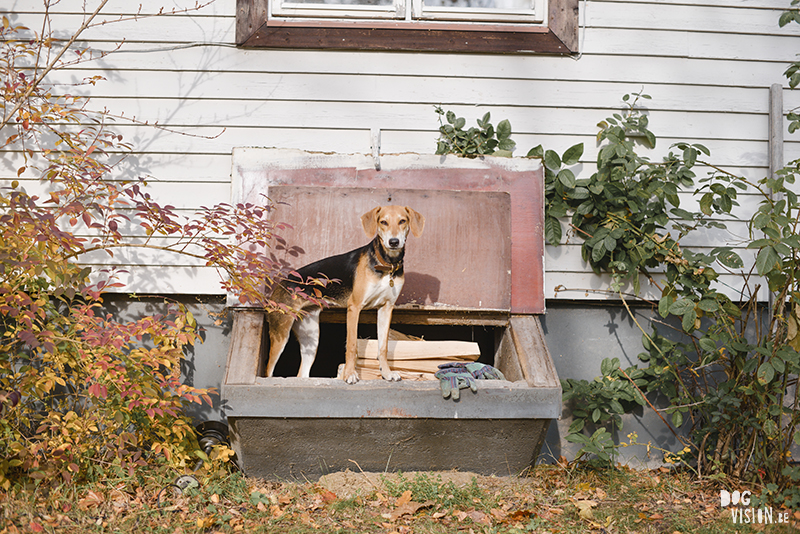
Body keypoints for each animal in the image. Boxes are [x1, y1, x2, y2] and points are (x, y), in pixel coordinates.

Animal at [266, 205, 424, 386]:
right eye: (383, 222)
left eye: (402, 221)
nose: (393, 242)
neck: (386, 264)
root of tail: (279, 284)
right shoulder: (354, 307)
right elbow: (352, 345)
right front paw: (349, 374)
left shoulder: (386, 308)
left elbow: (383, 347)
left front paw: (387, 373)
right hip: (281, 334)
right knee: (268, 371)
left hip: (311, 338)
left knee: (302, 374)